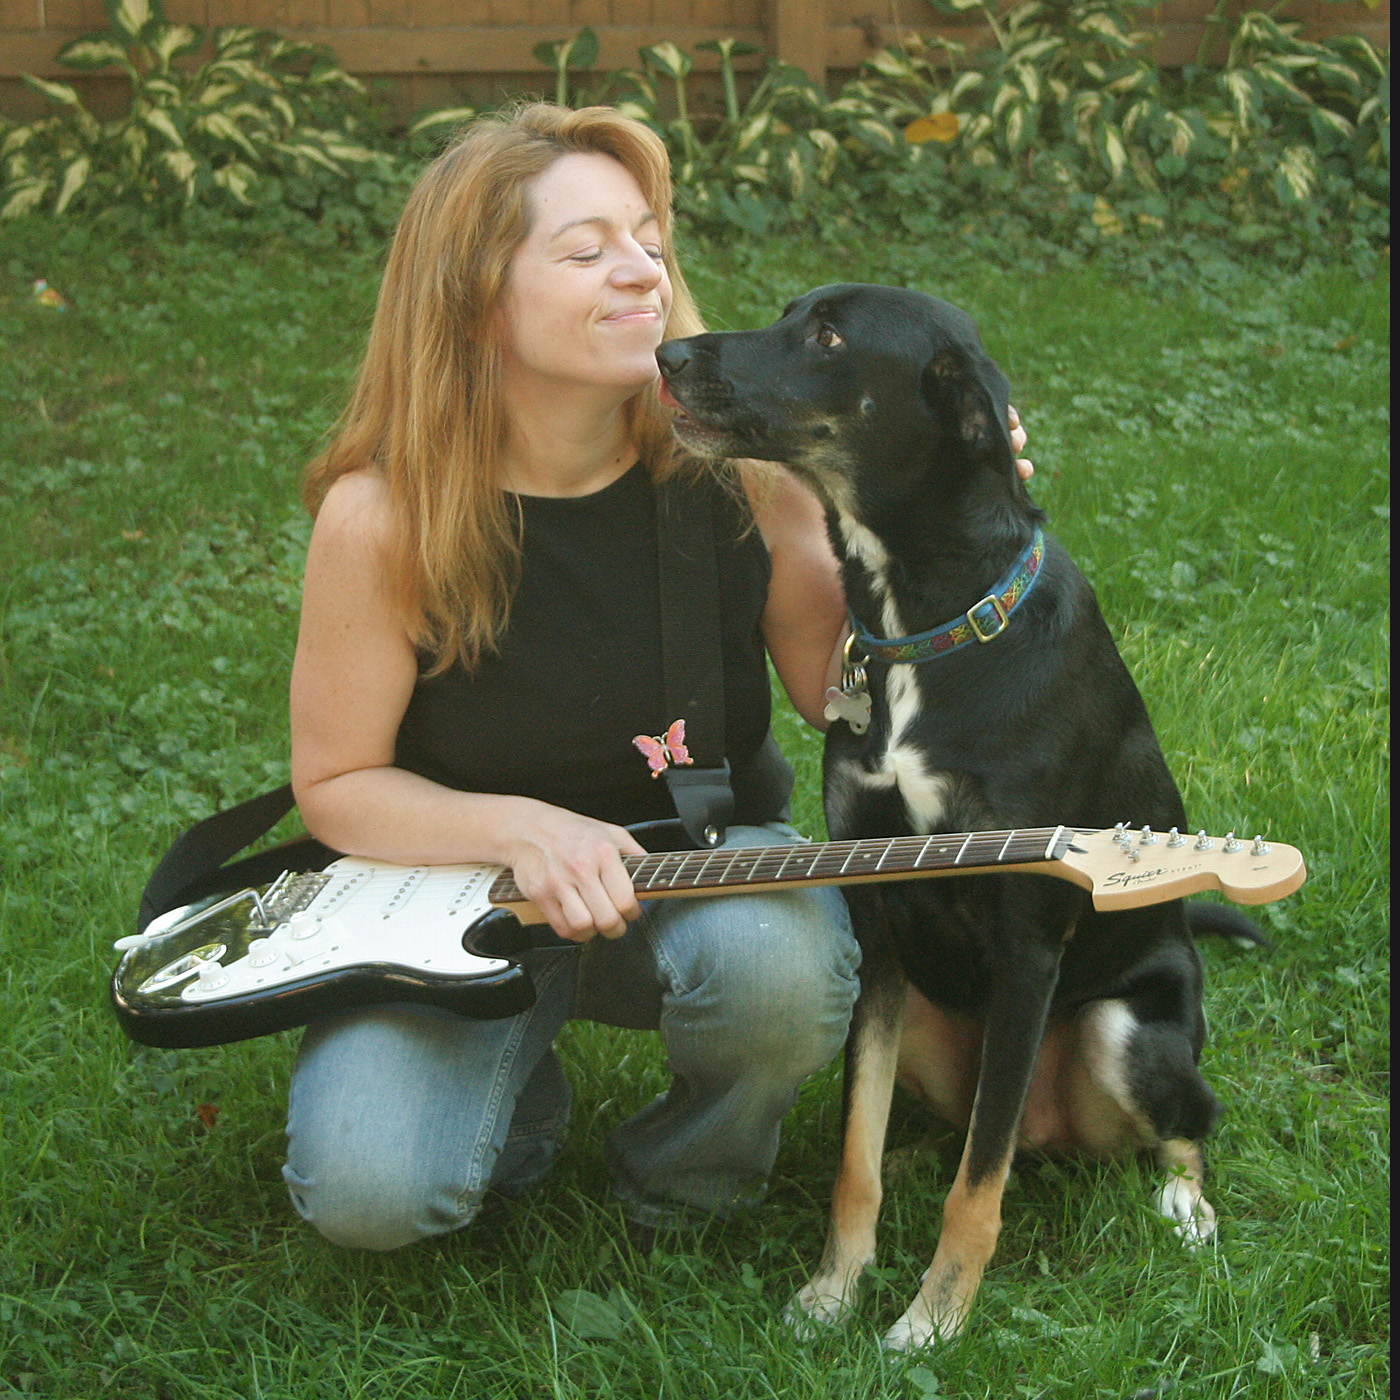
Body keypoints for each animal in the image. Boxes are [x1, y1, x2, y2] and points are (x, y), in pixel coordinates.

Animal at [655, 289, 1260, 1349]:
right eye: (791, 313)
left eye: (829, 335)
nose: (667, 355)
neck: (929, 628)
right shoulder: (877, 917)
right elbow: (856, 1150)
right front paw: (834, 1292)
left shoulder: (1030, 941)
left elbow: (978, 1193)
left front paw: (930, 1324)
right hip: (934, 1026)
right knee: (962, 1129)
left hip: (1122, 1033)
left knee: (1167, 1130)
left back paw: (1186, 1209)